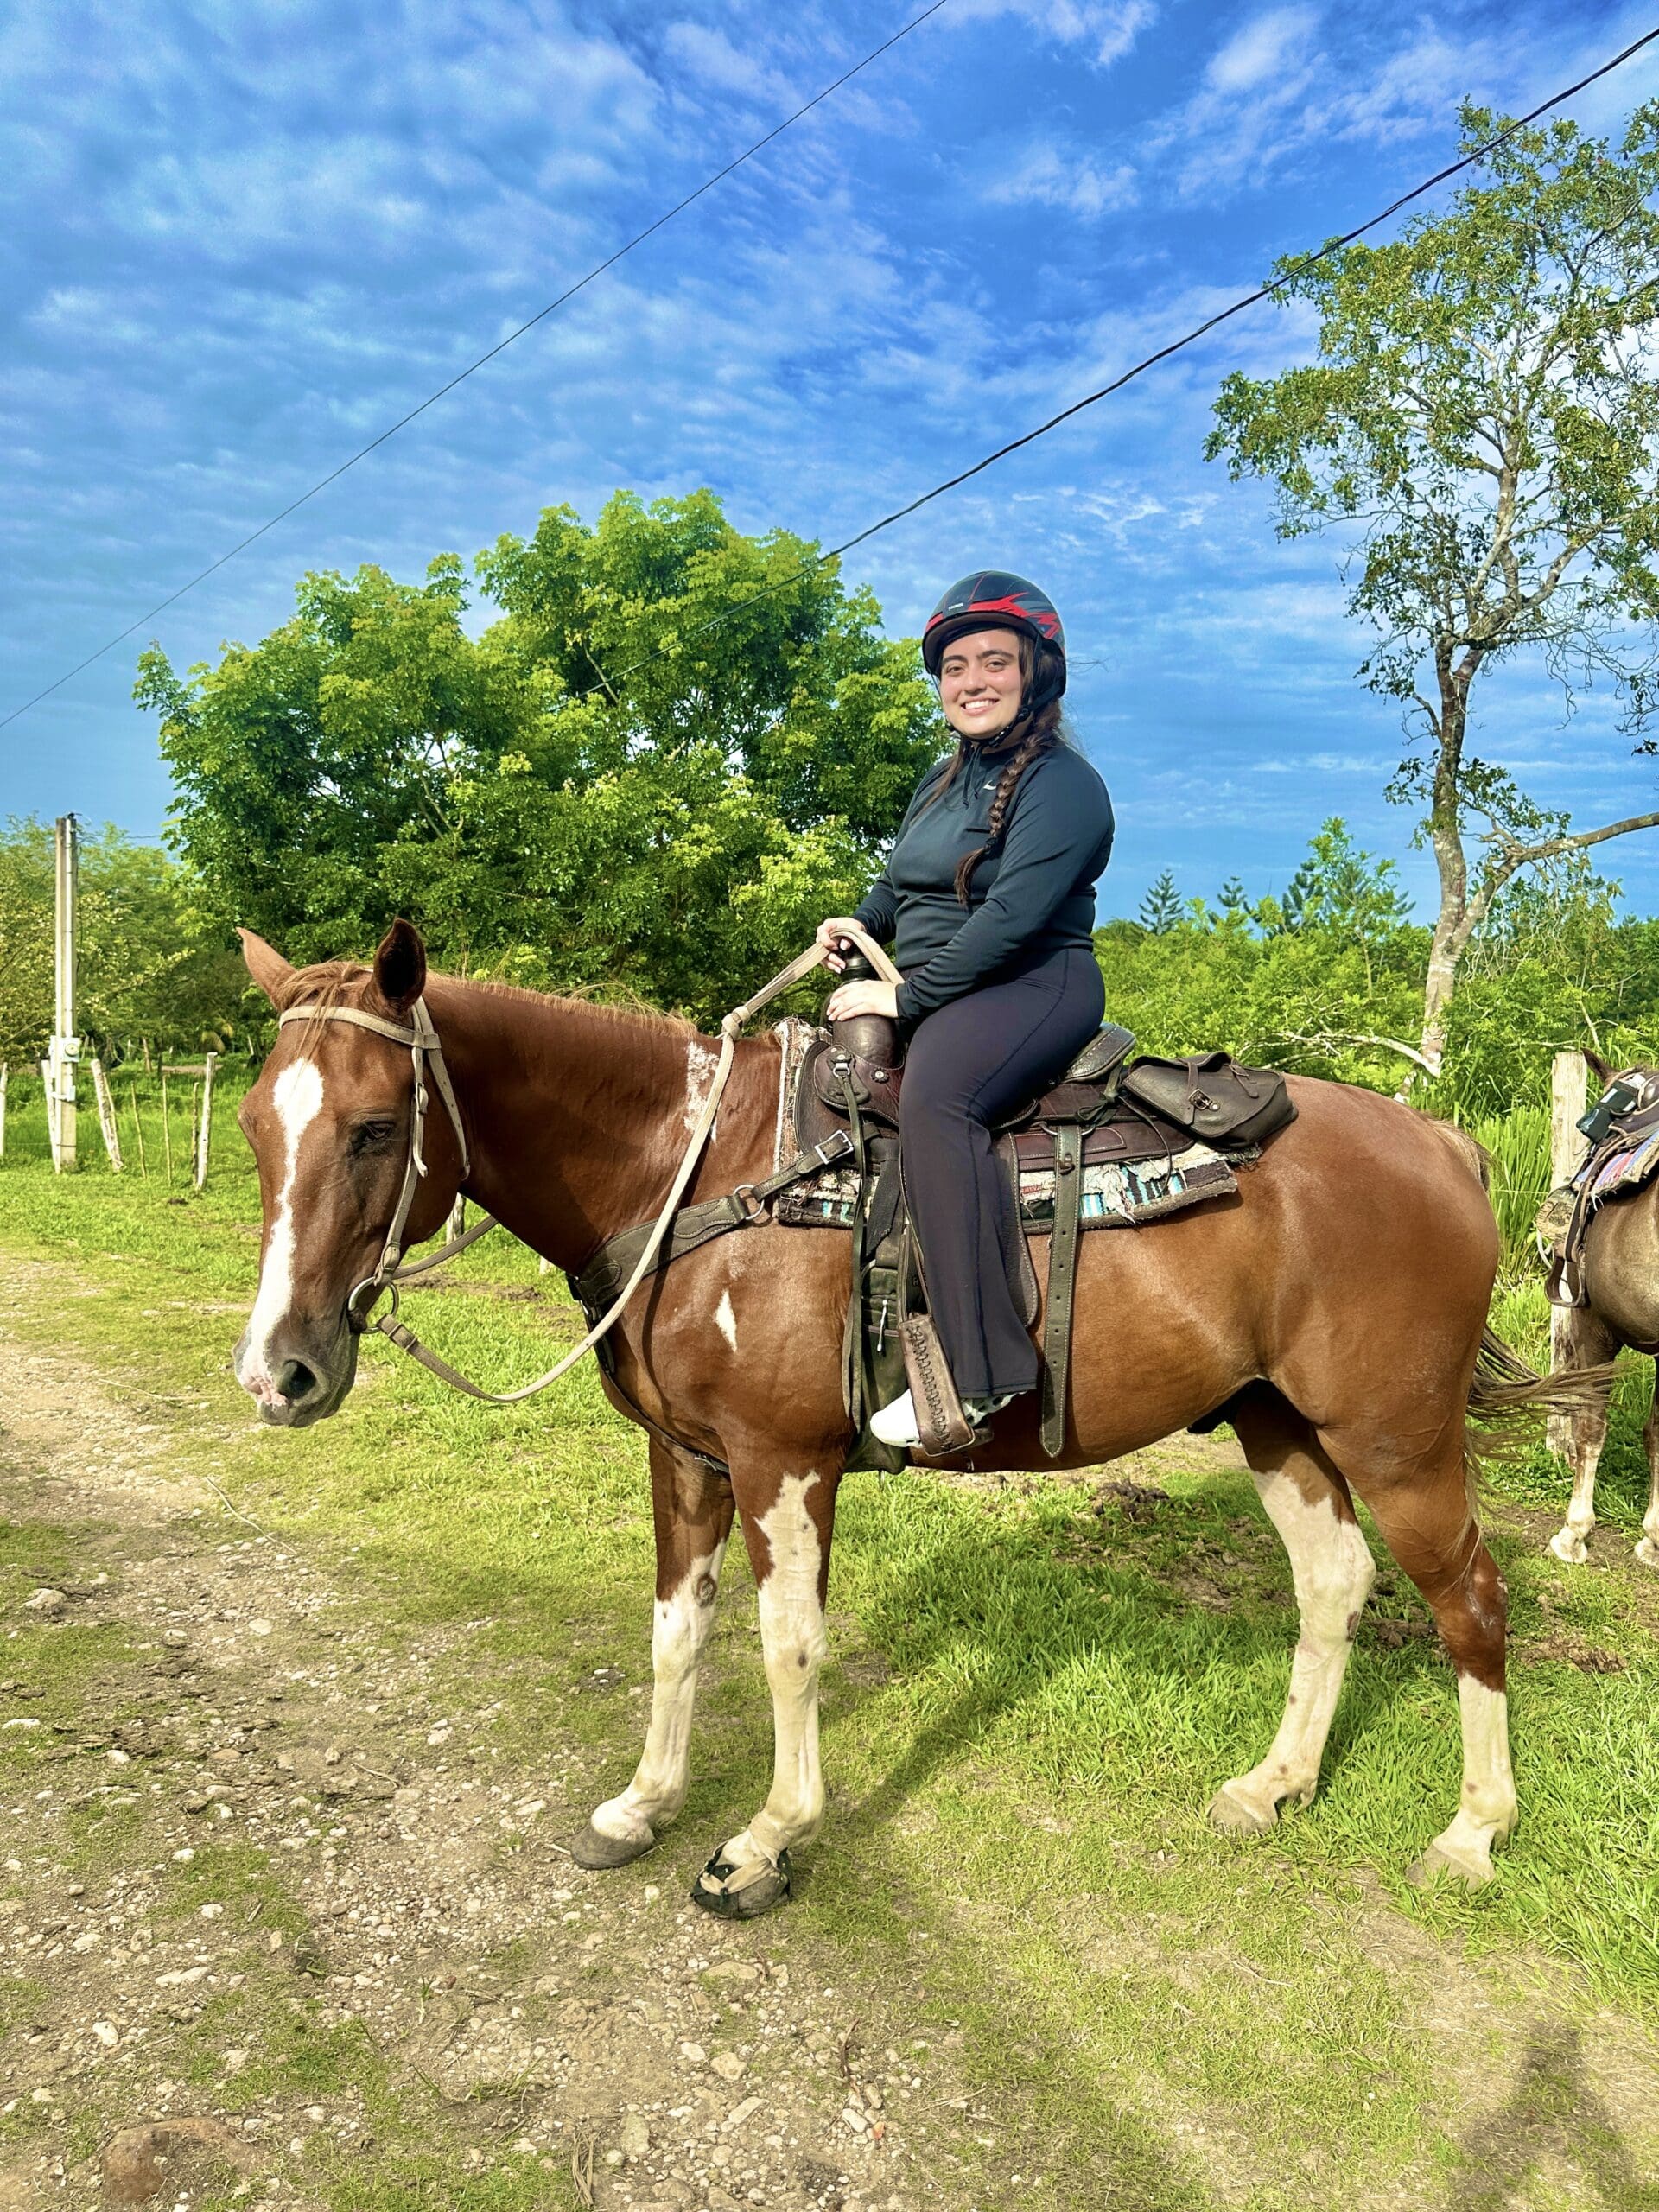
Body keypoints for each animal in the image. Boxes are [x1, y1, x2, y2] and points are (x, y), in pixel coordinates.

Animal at [230, 919, 1566, 1914]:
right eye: (252, 1124)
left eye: (376, 1128)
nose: (276, 1373)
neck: (695, 1169)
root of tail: (1442, 1140)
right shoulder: (687, 1458)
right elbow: (675, 1632)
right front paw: (643, 1804)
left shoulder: (781, 1462)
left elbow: (788, 1646)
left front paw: (764, 1840)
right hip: (1276, 1423)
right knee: (1335, 1583)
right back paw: (1273, 1784)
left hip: (1399, 1441)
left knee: (1471, 1600)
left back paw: (1472, 1833)